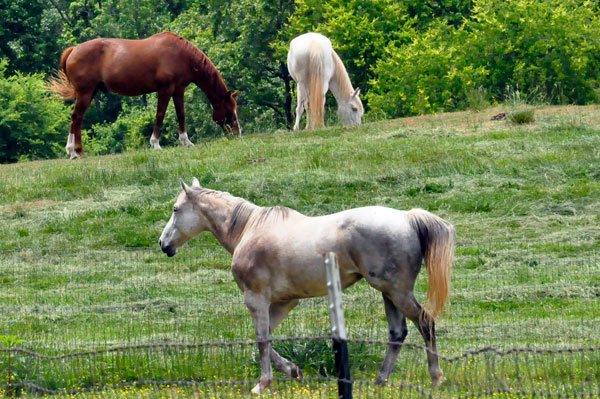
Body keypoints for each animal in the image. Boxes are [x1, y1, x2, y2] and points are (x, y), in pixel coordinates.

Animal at [49, 31, 241, 159]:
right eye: (230, 113)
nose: (237, 135)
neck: (181, 54)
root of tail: (73, 50)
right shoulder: (165, 89)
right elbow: (160, 115)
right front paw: (155, 144)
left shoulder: (178, 89)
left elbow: (181, 115)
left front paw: (186, 142)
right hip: (85, 92)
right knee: (76, 117)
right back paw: (73, 152)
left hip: (90, 92)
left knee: (79, 118)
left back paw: (78, 151)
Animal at [159, 180, 454, 396]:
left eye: (175, 209)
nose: (163, 244)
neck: (249, 229)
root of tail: (408, 218)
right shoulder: (284, 302)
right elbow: (267, 338)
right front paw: (293, 370)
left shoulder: (256, 299)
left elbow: (261, 340)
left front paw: (262, 384)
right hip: (388, 294)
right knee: (398, 333)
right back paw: (380, 380)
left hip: (397, 293)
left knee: (425, 322)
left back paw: (436, 377)